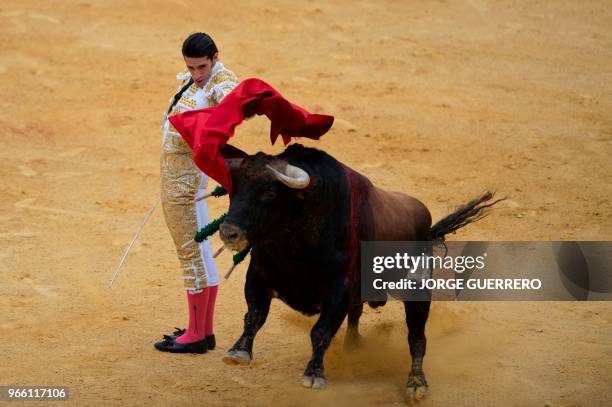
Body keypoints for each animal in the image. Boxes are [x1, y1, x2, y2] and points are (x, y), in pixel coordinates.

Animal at [218, 144, 500, 402]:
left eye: (269, 193)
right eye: (235, 189)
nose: (229, 232)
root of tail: (427, 225)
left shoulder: (339, 287)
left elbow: (321, 330)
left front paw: (314, 374)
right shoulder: (258, 276)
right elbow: (254, 316)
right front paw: (238, 352)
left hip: (417, 291)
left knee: (417, 337)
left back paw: (416, 384)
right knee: (357, 315)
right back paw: (353, 348)